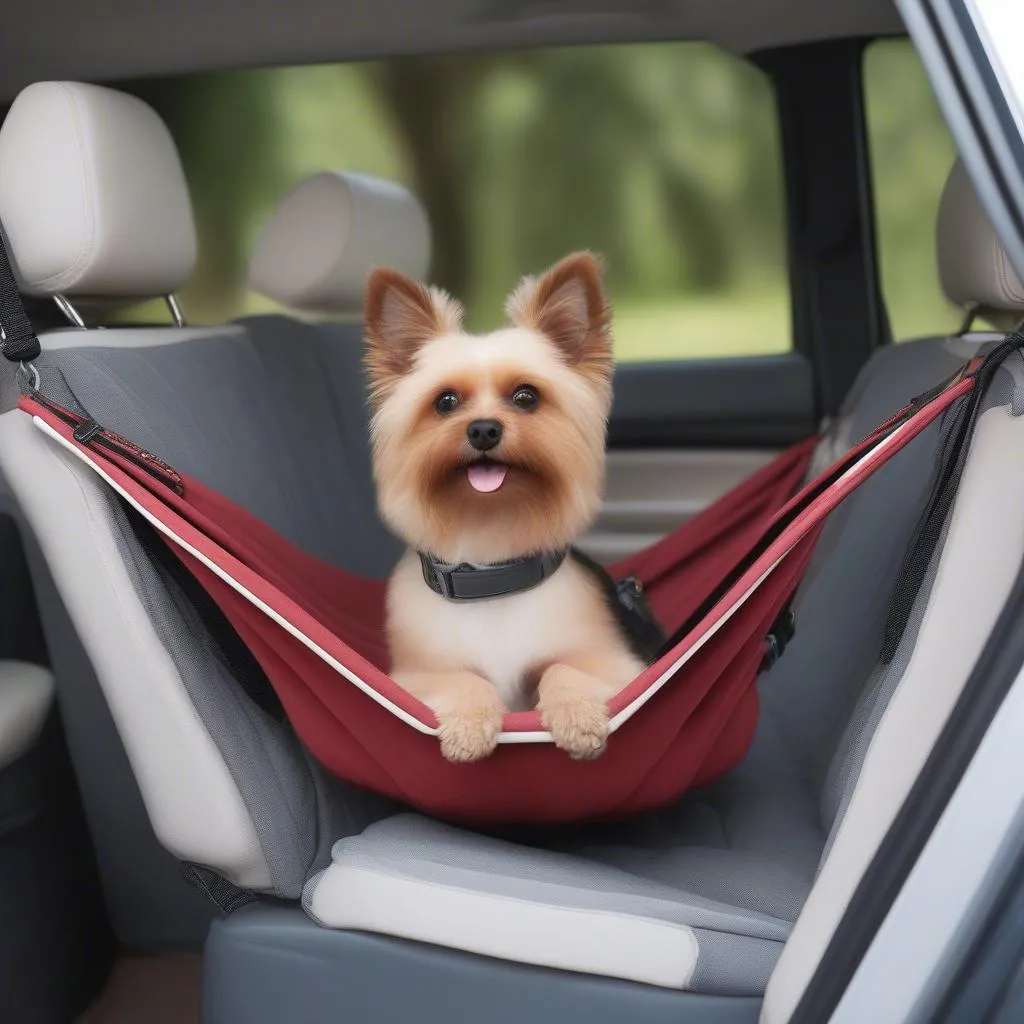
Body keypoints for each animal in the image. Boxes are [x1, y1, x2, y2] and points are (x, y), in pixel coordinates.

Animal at [368, 249, 651, 761]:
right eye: (445, 402)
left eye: (526, 396)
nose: (483, 429)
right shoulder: (412, 678)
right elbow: (462, 682)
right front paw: (468, 726)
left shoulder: (619, 666)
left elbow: (564, 669)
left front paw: (578, 716)